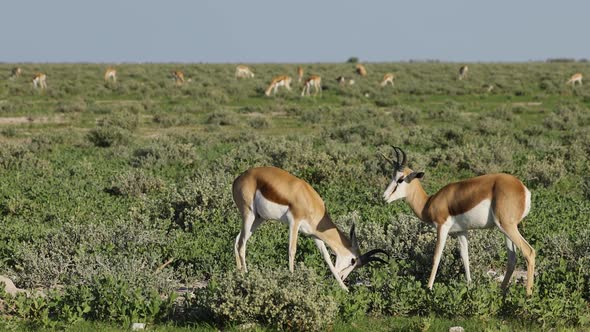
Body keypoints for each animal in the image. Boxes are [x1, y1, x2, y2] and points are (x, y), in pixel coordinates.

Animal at [234, 166, 390, 290]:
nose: (343, 277)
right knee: (242, 243)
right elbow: (292, 250)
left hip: (258, 219)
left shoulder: (314, 235)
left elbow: (326, 257)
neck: (309, 200)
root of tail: (239, 178)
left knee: (237, 240)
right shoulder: (294, 222)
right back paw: (246, 275)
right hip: (249, 214)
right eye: (353, 261)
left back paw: (239, 274)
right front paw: (291, 280)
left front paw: (344, 289)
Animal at [382, 147, 540, 296]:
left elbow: (436, 256)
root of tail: (523, 189)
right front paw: (469, 286)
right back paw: (500, 292)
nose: (384, 197)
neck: (429, 203)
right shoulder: (461, 231)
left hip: (507, 226)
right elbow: (465, 256)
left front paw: (428, 288)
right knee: (512, 259)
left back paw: (528, 295)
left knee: (529, 252)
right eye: (391, 176)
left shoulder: (442, 227)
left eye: (400, 179)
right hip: (506, 229)